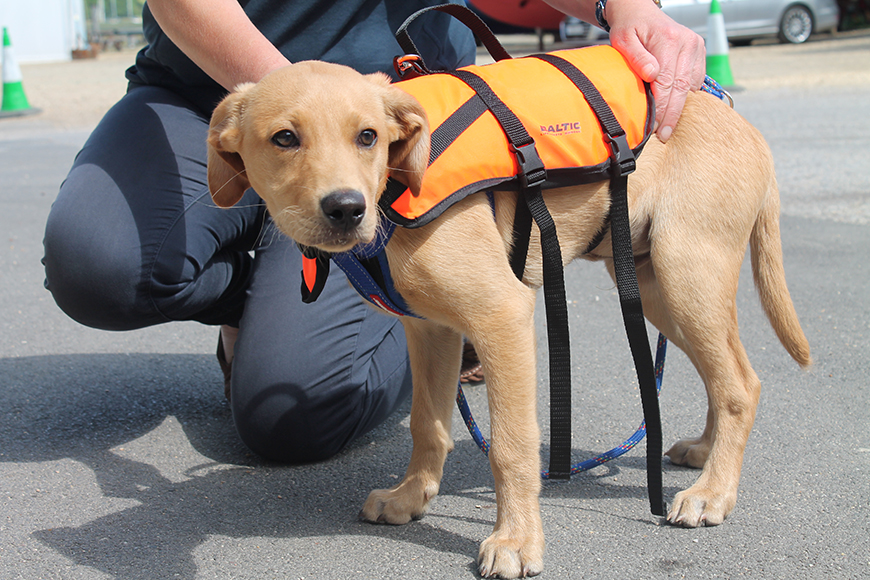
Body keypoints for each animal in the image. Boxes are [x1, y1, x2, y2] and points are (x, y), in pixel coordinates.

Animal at [208, 61, 816, 576]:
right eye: (284, 138)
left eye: (368, 137)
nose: (345, 209)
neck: (395, 190)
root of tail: (744, 124)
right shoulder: (430, 329)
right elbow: (427, 424)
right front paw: (411, 497)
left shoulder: (501, 315)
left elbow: (511, 446)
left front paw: (517, 541)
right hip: (657, 286)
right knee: (730, 373)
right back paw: (706, 455)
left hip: (686, 272)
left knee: (739, 384)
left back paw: (714, 493)